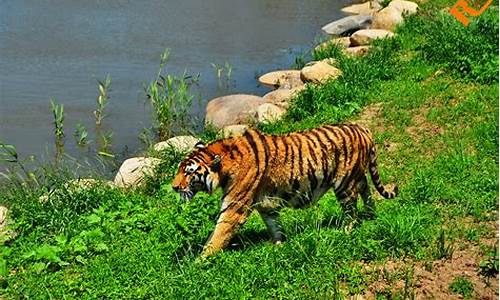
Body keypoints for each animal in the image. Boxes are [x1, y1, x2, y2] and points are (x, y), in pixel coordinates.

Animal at [172, 123, 398, 256]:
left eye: (189, 173)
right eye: (179, 169)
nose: (174, 187)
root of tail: (361, 127)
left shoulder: (234, 208)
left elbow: (218, 234)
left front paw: (198, 263)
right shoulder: (266, 205)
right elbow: (274, 225)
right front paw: (279, 245)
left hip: (345, 183)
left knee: (352, 210)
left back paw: (347, 230)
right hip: (356, 175)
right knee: (366, 189)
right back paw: (371, 214)